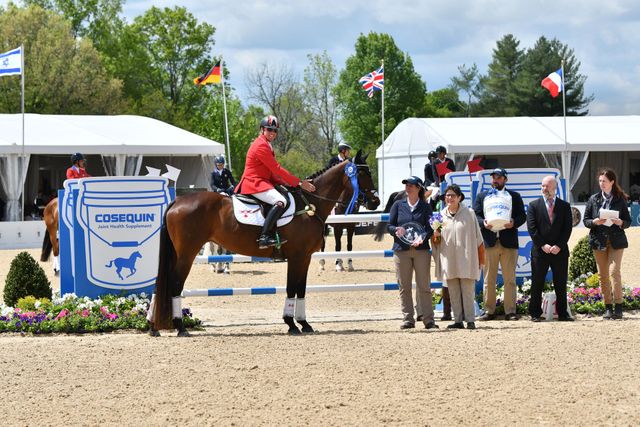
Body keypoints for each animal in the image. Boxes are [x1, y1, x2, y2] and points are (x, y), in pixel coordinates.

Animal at [152, 152, 378, 336]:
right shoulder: (297, 257)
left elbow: (301, 289)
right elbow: (292, 288)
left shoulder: (304, 257)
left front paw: (303, 323)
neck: (309, 205)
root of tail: (177, 201)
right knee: (175, 284)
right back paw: (180, 326)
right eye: (363, 174)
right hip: (187, 254)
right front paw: (292, 324)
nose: (375, 202)